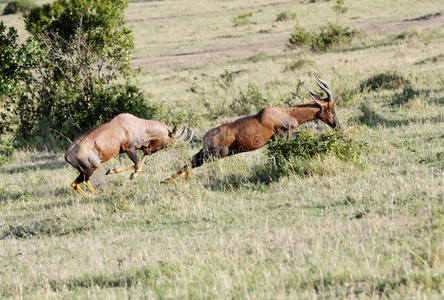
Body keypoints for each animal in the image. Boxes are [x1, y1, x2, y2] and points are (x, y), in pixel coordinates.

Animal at [161, 76, 338, 184]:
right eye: (330, 107)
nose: (337, 125)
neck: (283, 113)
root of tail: (206, 136)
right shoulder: (284, 136)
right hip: (215, 154)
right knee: (192, 163)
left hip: (207, 153)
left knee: (190, 161)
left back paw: (166, 181)